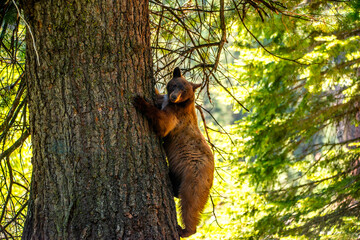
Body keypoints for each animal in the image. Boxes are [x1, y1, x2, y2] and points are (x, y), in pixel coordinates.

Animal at [134, 67, 214, 238]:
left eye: (184, 91)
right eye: (175, 85)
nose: (173, 96)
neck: (179, 104)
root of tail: (211, 177)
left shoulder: (177, 116)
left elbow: (163, 124)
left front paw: (140, 101)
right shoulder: (165, 102)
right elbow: (158, 97)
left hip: (194, 177)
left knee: (190, 203)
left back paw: (185, 229)